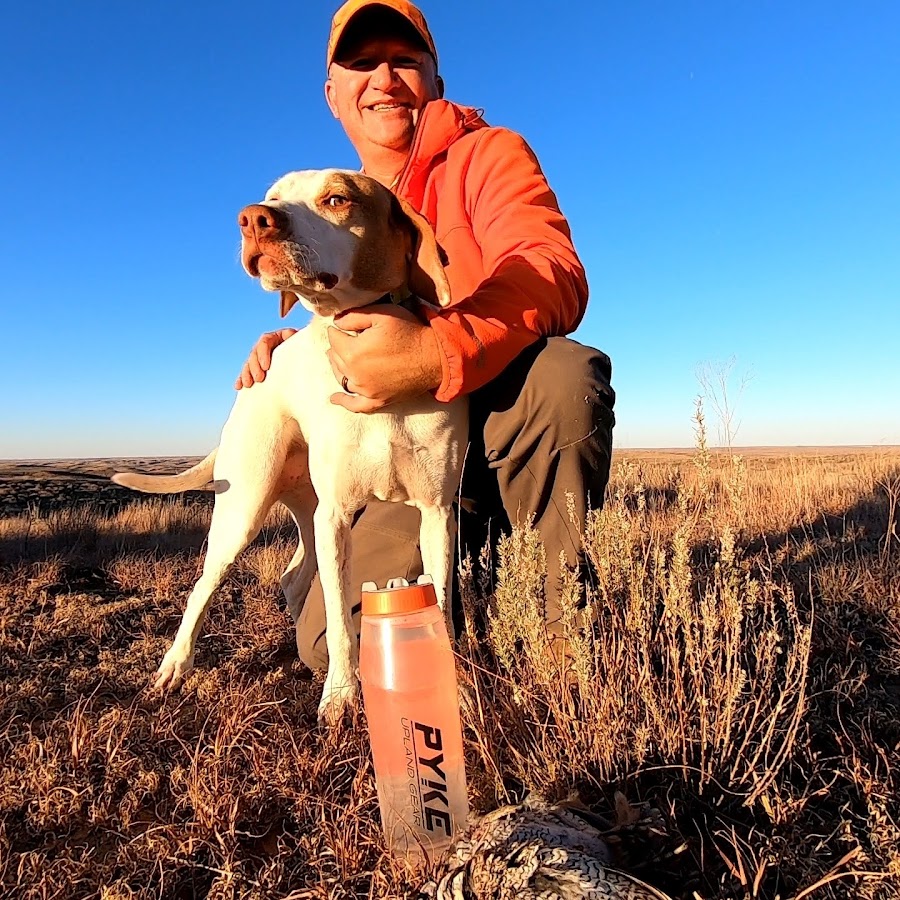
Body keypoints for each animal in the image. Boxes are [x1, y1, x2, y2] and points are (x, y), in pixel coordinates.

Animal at [114, 172, 464, 724]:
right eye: (273, 196)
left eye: (338, 198)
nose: (254, 218)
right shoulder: (336, 517)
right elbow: (341, 623)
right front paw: (340, 696)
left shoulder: (436, 513)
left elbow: (441, 602)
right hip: (244, 508)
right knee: (204, 587)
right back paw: (174, 665)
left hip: (305, 511)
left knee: (294, 578)